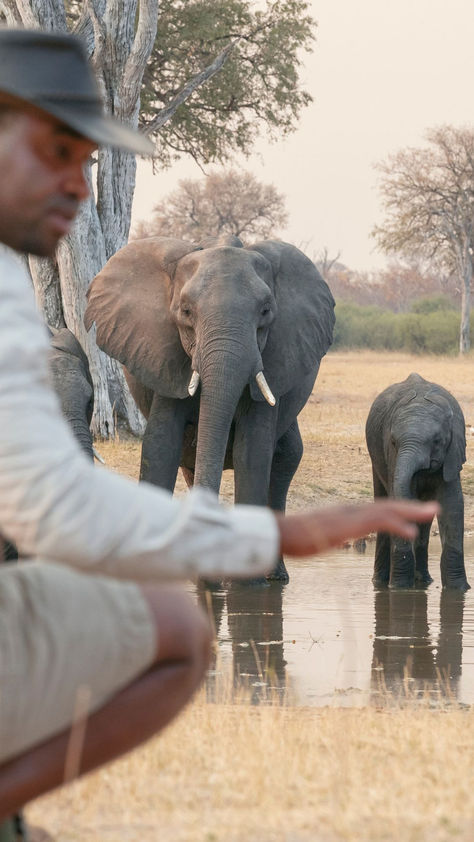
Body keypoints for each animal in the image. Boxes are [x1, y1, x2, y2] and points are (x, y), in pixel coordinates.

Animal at [84, 233, 334, 580]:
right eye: (186, 311)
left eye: (266, 311)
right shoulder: (165, 354)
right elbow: (161, 446)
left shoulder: (273, 355)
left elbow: (253, 451)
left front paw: (247, 584)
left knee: (285, 460)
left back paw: (275, 577)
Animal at [364, 374, 468, 592]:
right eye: (393, 442)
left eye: (437, 441)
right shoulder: (392, 455)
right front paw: (400, 589)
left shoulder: (452, 453)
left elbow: (452, 504)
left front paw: (459, 590)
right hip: (375, 458)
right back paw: (381, 583)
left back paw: (423, 581)